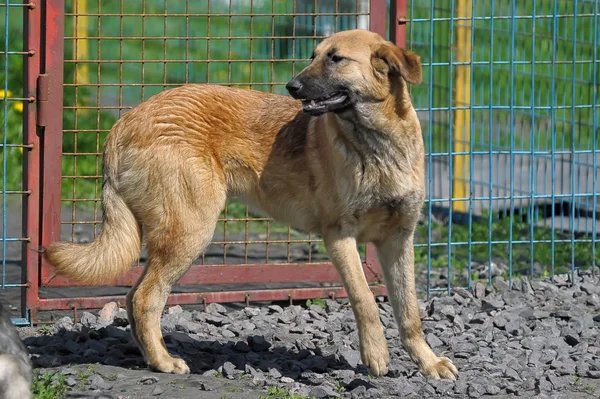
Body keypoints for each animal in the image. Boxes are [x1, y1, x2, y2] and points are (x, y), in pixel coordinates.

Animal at [44, 28, 458, 382]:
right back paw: (163, 362)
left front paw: (428, 362)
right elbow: (366, 300)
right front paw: (376, 355)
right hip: (191, 232)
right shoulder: (340, 237)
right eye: (313, 56)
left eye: (335, 59)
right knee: (145, 298)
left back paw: (150, 357)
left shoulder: (398, 241)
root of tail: (121, 126)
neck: (377, 144)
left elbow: (409, 311)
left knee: (133, 298)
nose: (291, 86)